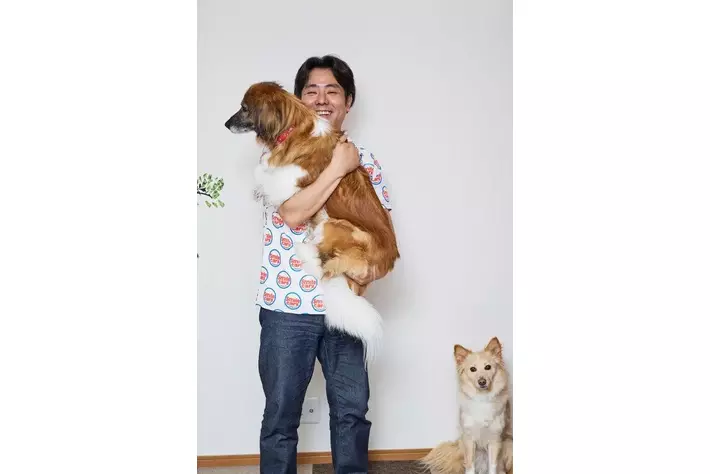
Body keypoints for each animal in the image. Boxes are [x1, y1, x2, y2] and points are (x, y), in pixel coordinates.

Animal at [420, 337, 513, 474]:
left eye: (488, 367)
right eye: (473, 369)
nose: (482, 382)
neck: (482, 399)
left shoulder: (495, 439)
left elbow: (493, 466)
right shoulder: (469, 439)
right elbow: (470, 466)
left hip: (508, 445)